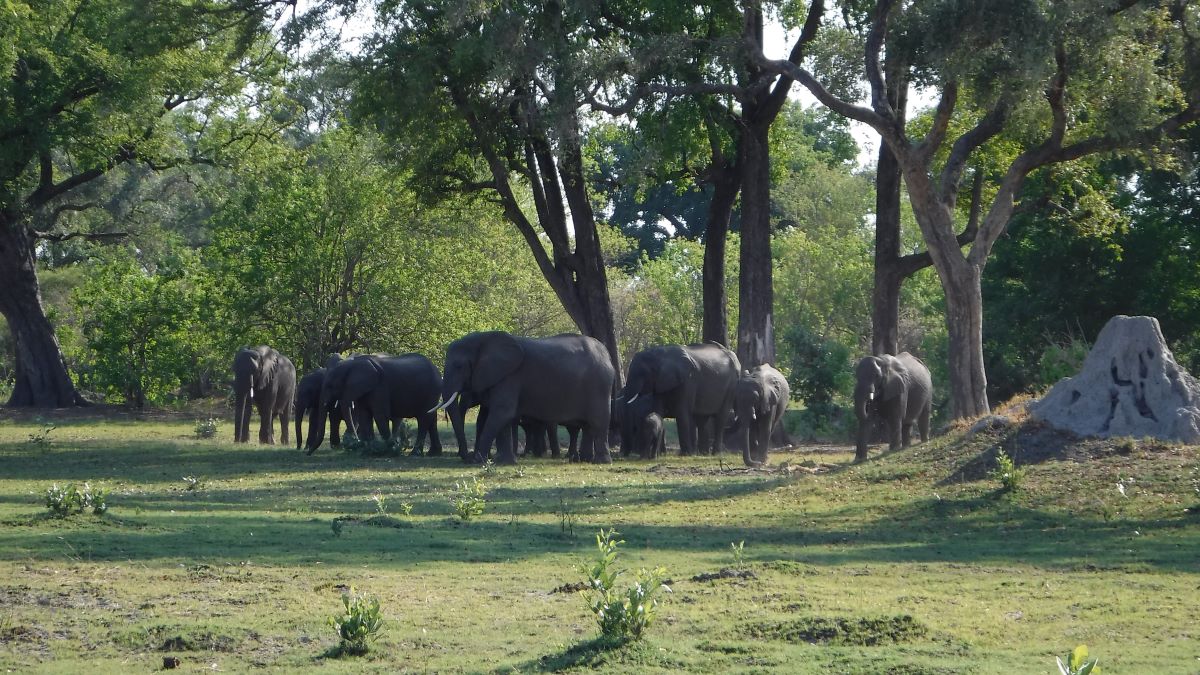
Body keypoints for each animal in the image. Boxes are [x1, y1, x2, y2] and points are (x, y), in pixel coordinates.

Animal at [433, 331, 615, 465]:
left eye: (458, 366)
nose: (466, 457)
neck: (484, 339)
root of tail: (606, 354)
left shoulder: (510, 377)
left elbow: (502, 413)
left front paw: (478, 461)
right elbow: (503, 418)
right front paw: (504, 462)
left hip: (599, 385)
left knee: (598, 422)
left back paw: (601, 462)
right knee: (588, 425)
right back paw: (584, 460)